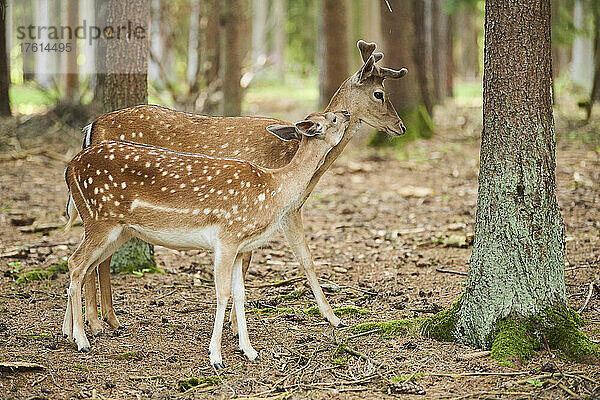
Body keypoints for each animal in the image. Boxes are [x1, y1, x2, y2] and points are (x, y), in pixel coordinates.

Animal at [64, 111, 352, 368]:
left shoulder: (240, 246)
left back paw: (69, 332)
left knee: (85, 265)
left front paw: (249, 350)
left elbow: (240, 293)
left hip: (119, 229)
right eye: (332, 118)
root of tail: (70, 167)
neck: (274, 189)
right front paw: (216, 356)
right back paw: (82, 339)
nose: (347, 113)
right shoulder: (228, 236)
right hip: (100, 219)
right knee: (76, 262)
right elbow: (222, 293)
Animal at [71, 39, 408, 338]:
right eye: (379, 93)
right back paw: (97, 324)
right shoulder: (269, 210)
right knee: (93, 259)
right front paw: (329, 318)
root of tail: (91, 127)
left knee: (99, 258)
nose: (401, 126)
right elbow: (297, 258)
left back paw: (107, 321)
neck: (294, 165)